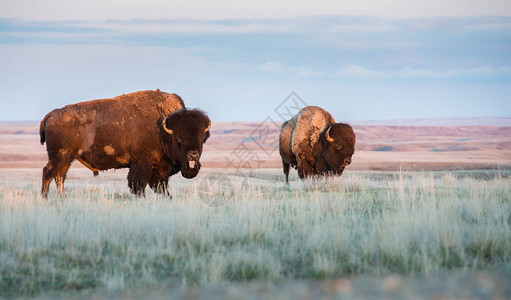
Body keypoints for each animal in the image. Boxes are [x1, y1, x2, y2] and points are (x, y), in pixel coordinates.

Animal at [37, 89, 210, 197]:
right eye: (179, 139)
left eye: (202, 138)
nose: (193, 156)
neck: (164, 130)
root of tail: (53, 113)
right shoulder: (142, 164)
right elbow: (138, 186)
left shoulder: (158, 172)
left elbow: (162, 189)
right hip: (59, 156)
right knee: (48, 173)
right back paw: (45, 198)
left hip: (67, 159)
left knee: (59, 177)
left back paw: (63, 199)